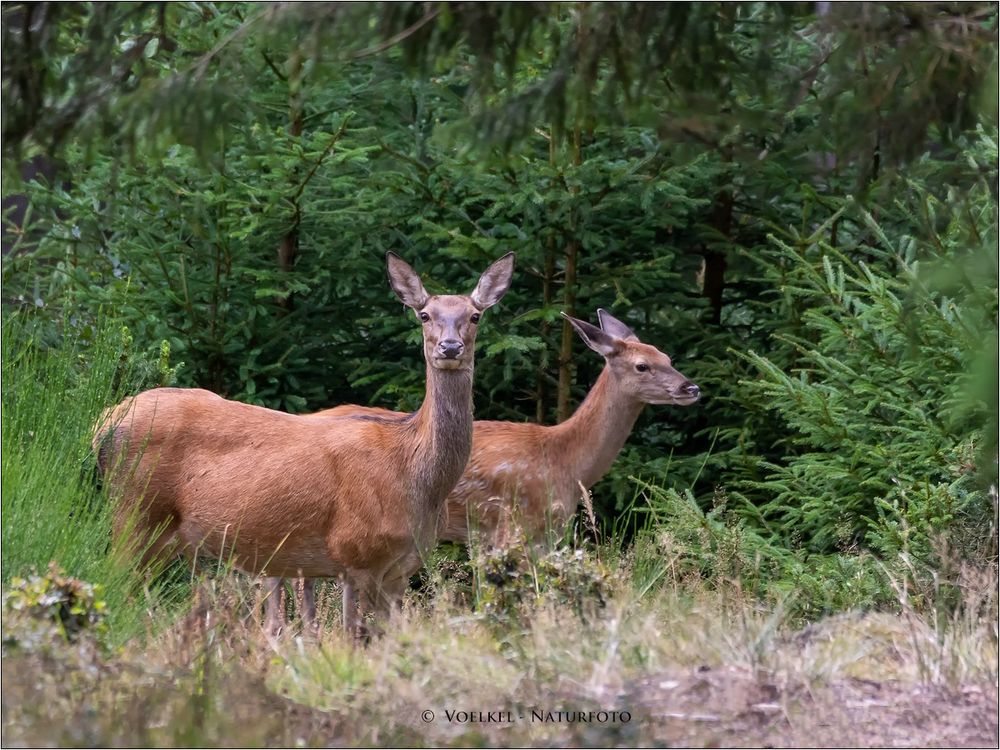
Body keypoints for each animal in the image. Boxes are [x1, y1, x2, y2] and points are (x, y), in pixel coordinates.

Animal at [95, 251, 516, 636]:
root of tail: (104, 421)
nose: (449, 347)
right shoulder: (356, 553)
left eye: (475, 316)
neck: (414, 474)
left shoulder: (400, 569)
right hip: (134, 511)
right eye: (424, 315)